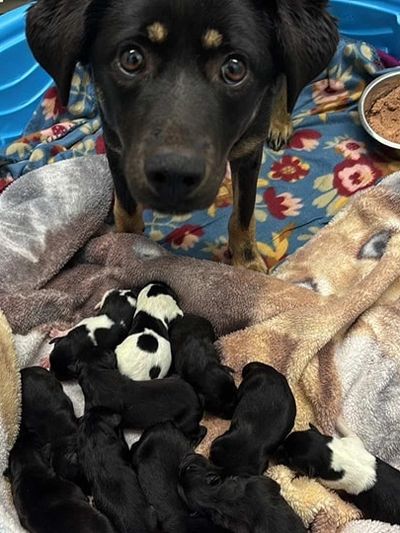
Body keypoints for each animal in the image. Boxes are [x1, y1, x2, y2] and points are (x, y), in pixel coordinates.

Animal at [27, 0, 338, 273]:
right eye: (131, 58)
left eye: (234, 68)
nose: (174, 176)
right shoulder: (116, 145)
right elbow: (126, 209)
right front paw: (125, 247)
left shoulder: (249, 152)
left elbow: (244, 213)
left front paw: (247, 264)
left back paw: (280, 120)